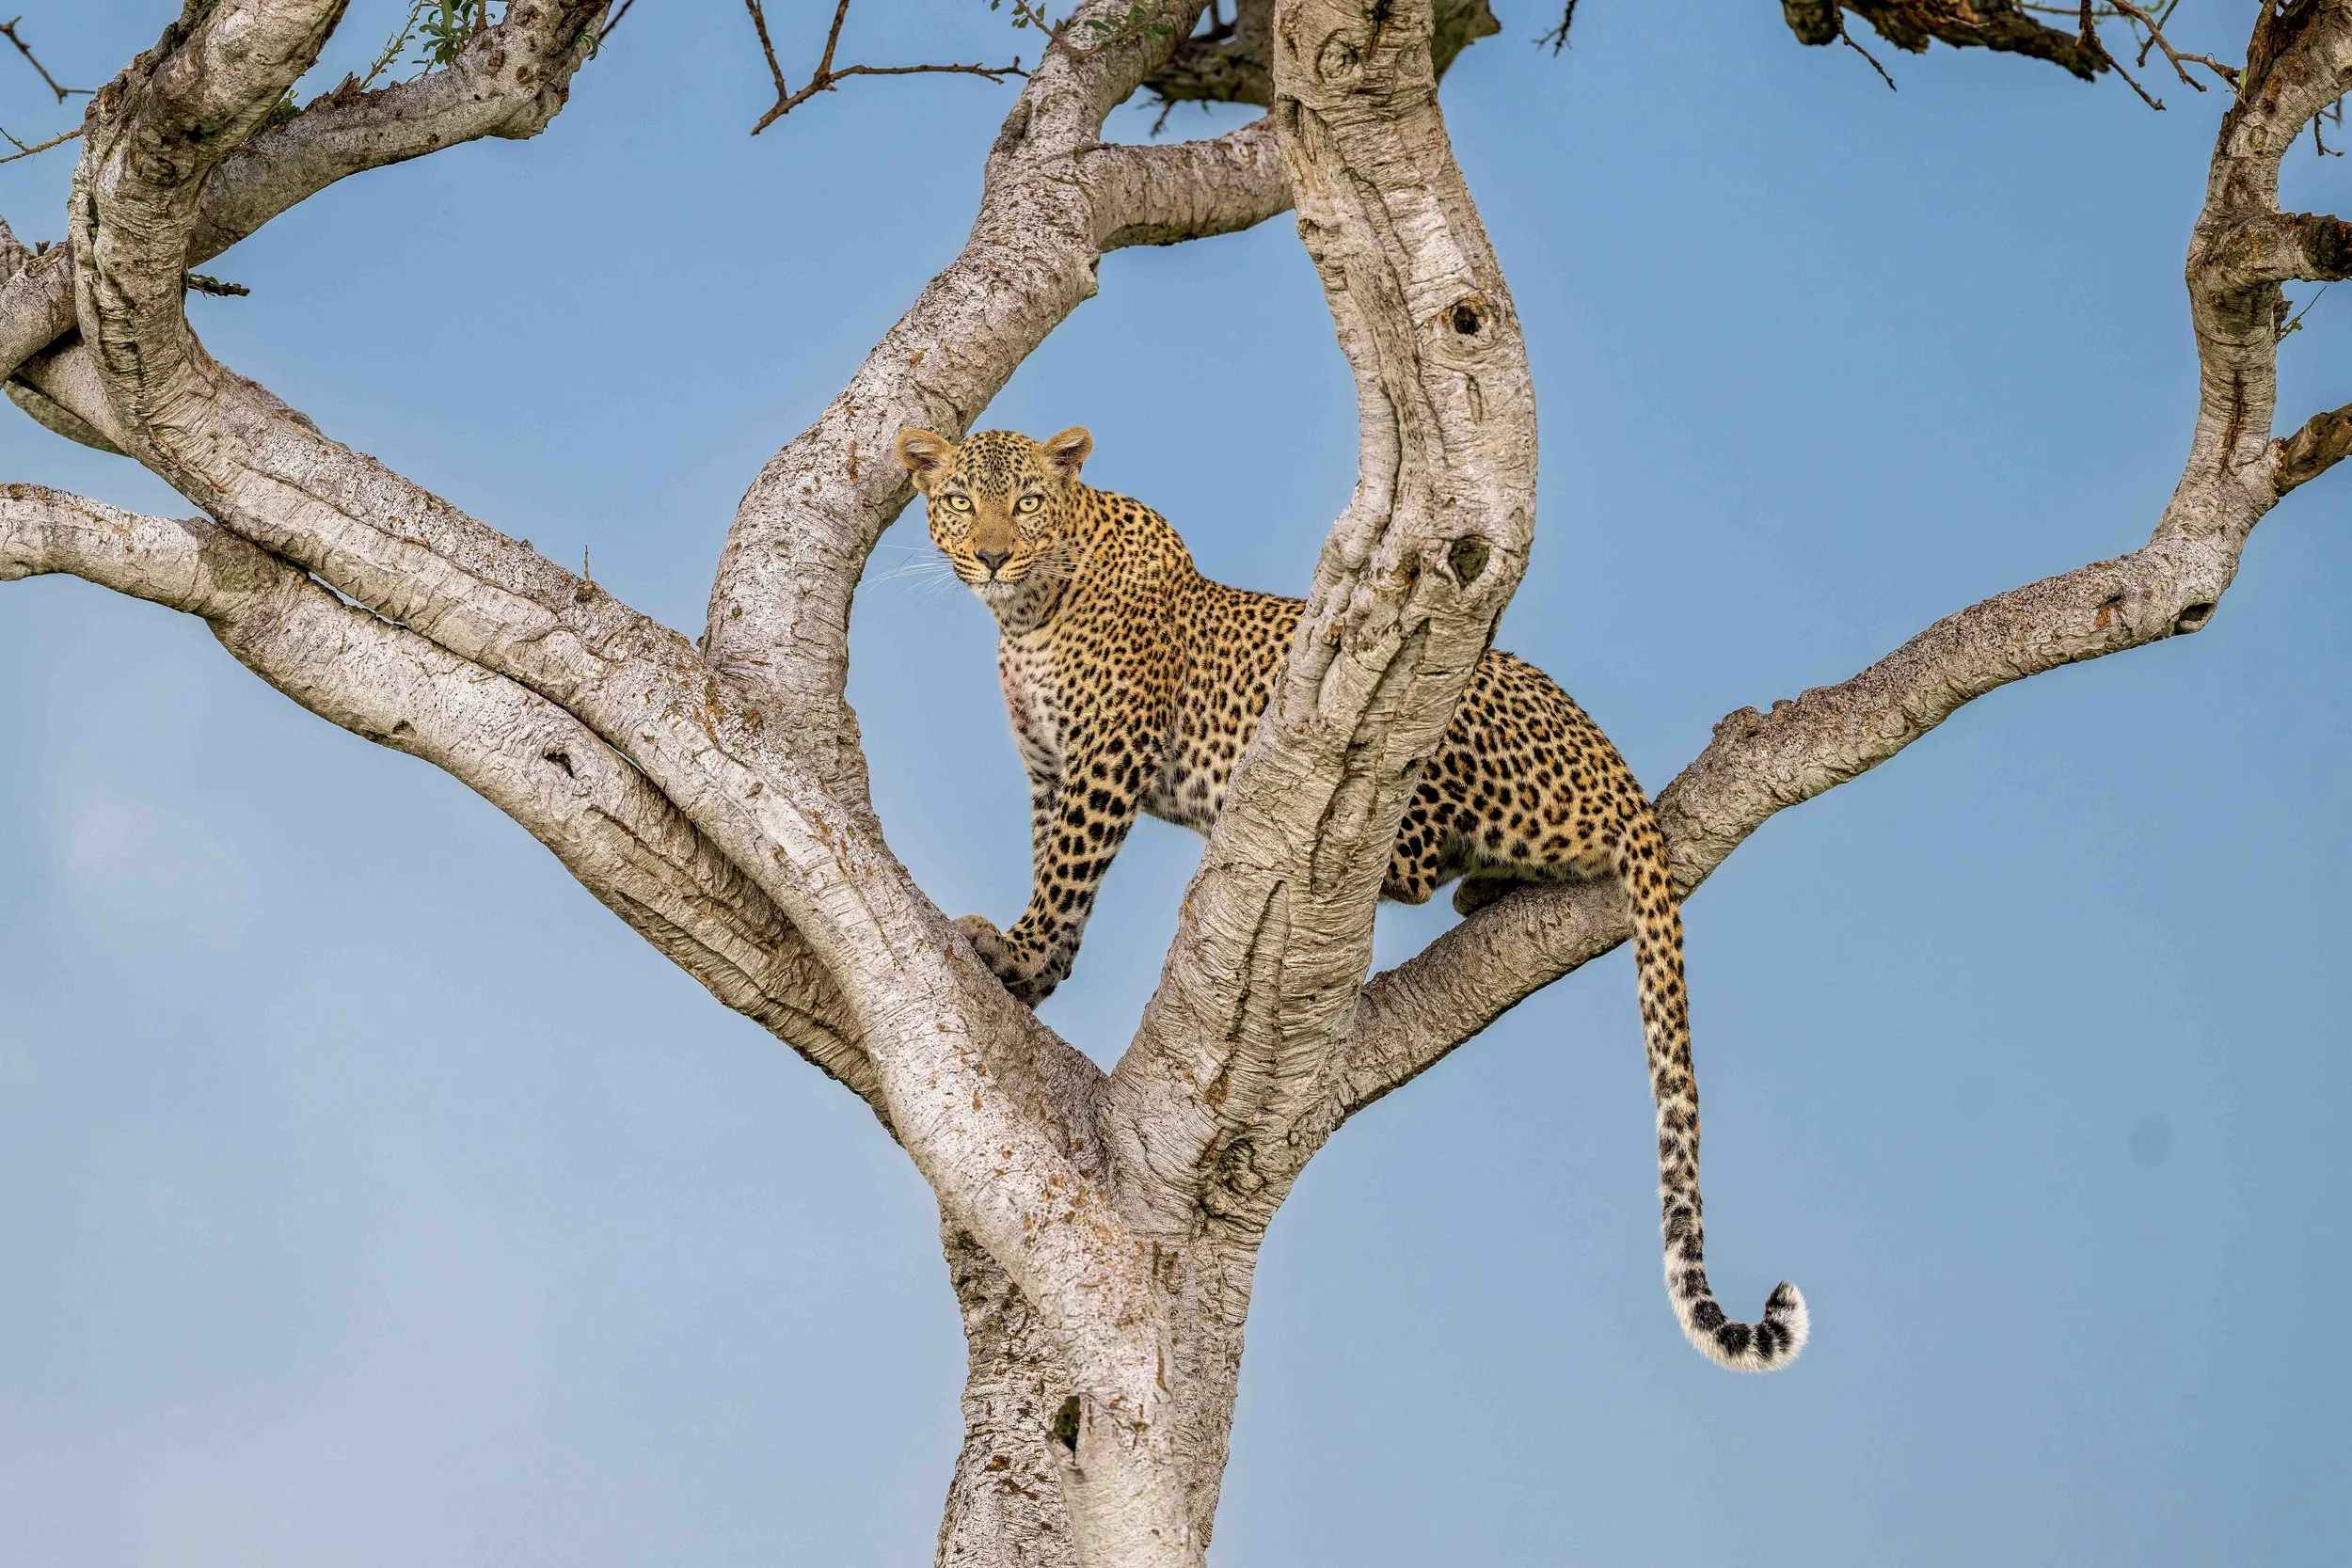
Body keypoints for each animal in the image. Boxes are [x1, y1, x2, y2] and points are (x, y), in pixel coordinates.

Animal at [894, 423, 1807, 1373]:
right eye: (960, 501)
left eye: (1028, 501)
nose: (992, 555)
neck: (1029, 610)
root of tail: (1617, 769)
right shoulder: (1050, 772)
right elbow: (1054, 870)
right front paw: (1034, 975)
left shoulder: (1105, 761)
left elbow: (1067, 872)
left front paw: (1021, 951)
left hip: (1443, 717)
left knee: (1413, 854)